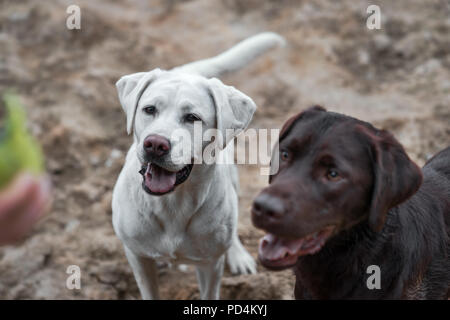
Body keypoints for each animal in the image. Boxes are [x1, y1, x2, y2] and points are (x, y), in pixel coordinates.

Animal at [111, 31, 284, 298]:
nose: (155, 144)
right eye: (149, 109)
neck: (172, 202)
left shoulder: (210, 265)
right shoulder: (137, 257)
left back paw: (238, 254)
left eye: (192, 118)